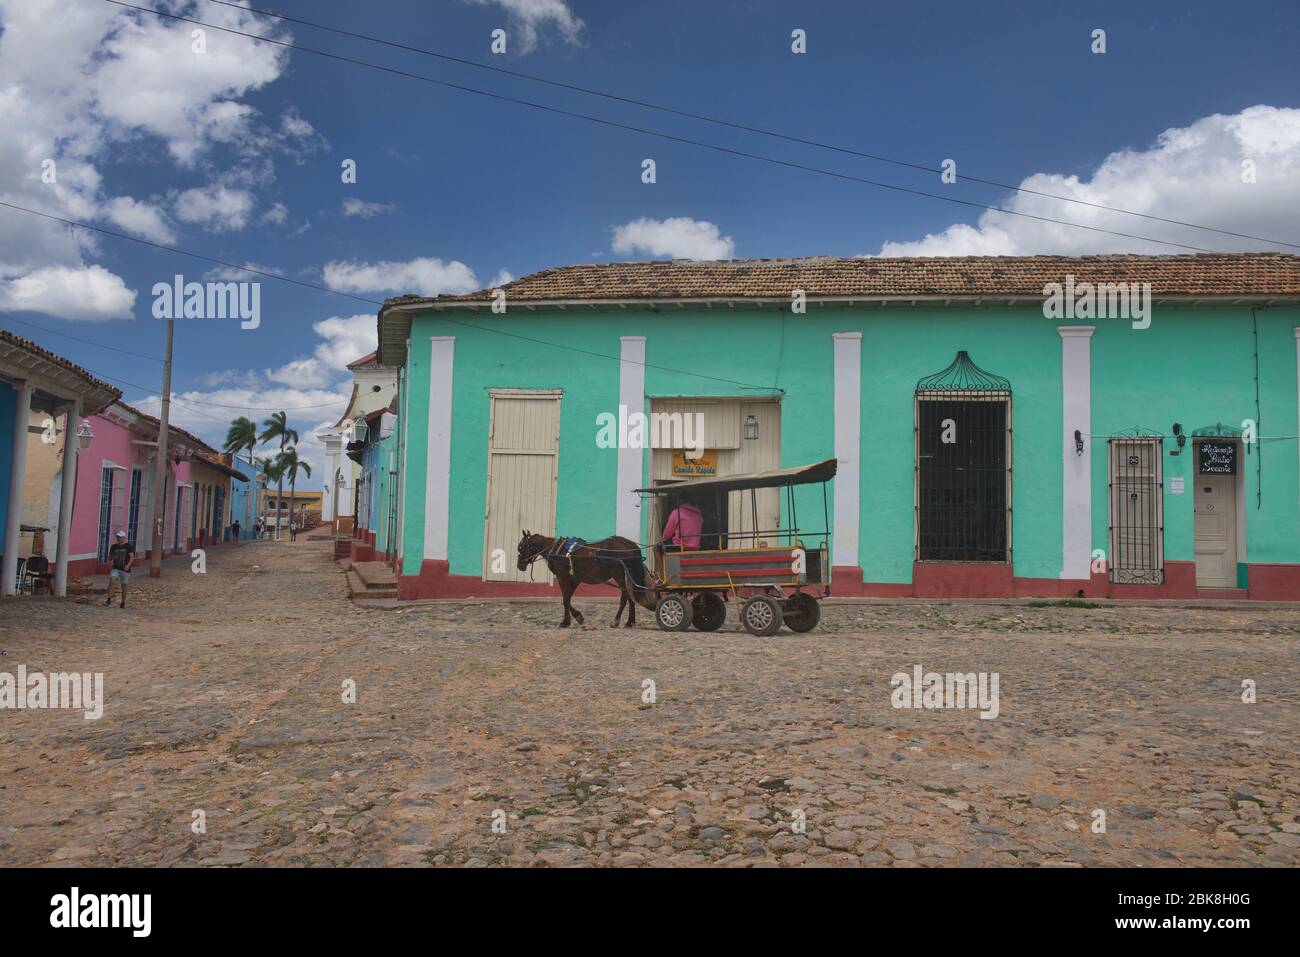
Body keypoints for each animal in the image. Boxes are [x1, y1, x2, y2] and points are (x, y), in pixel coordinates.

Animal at [517, 530, 660, 629]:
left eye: (521, 547)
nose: (519, 566)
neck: (558, 551)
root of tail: (630, 545)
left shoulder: (562, 577)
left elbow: (565, 600)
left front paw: (566, 621)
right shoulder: (574, 579)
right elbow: (568, 599)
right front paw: (576, 617)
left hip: (619, 575)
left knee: (626, 597)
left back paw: (619, 621)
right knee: (630, 597)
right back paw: (630, 621)